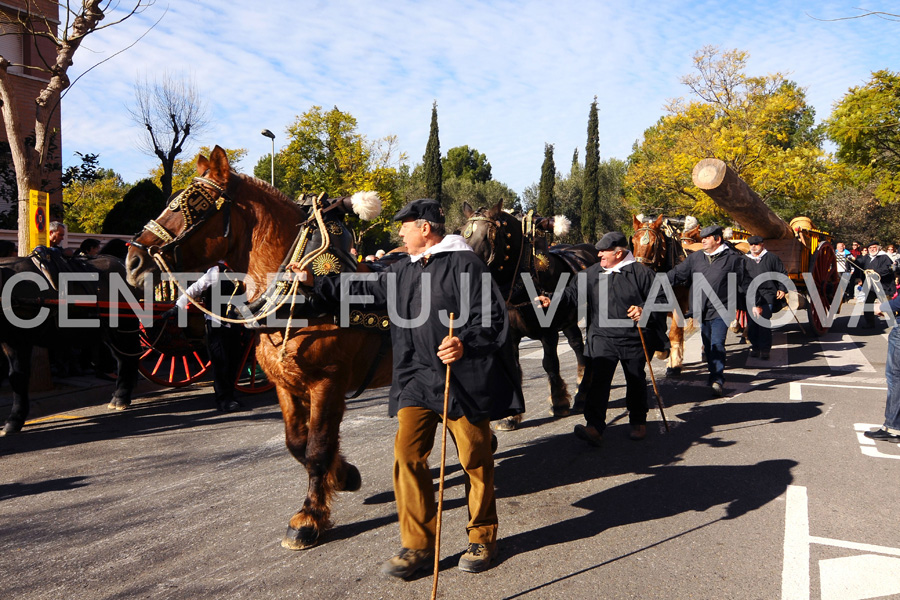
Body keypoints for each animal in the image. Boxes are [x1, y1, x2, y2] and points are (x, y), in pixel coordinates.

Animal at [0, 251, 141, 434]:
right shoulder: (9, 342)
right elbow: (15, 377)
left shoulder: (19, 340)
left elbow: (19, 377)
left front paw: (15, 419)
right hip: (109, 332)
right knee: (123, 358)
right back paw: (120, 395)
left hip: (124, 328)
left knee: (130, 357)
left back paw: (121, 397)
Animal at [125, 145, 392, 548]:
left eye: (190, 205)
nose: (133, 260)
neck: (306, 292)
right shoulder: (285, 384)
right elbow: (298, 443)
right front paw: (343, 475)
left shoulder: (327, 382)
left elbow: (317, 447)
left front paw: (308, 518)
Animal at [464, 204, 596, 428]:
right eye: (462, 233)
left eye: (485, 236)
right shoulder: (510, 336)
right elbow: (515, 367)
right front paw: (510, 417)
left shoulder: (548, 331)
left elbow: (550, 363)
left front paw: (559, 401)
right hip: (569, 321)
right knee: (577, 344)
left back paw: (582, 395)